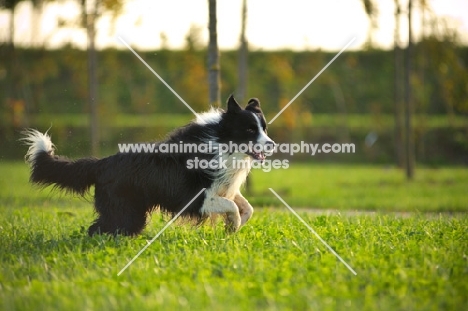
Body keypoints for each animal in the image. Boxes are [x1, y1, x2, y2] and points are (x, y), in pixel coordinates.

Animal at [22, 95, 274, 236]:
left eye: (264, 128)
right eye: (250, 129)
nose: (272, 144)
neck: (221, 142)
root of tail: (102, 163)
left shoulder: (223, 187)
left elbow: (246, 207)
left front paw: (232, 227)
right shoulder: (196, 197)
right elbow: (232, 207)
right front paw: (233, 225)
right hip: (126, 209)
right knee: (101, 228)